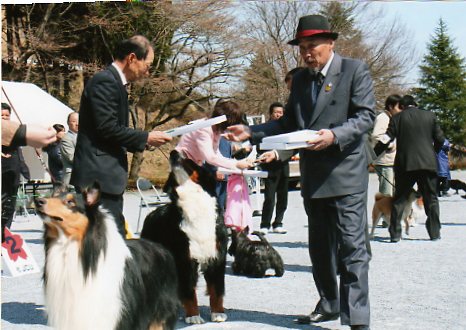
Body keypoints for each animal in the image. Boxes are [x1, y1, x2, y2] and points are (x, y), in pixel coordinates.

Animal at [142, 150, 229, 324]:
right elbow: (189, 291)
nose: (173, 152)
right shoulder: (183, 258)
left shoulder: (217, 255)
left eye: (189, 160)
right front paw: (193, 315)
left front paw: (218, 313)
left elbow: (216, 289)